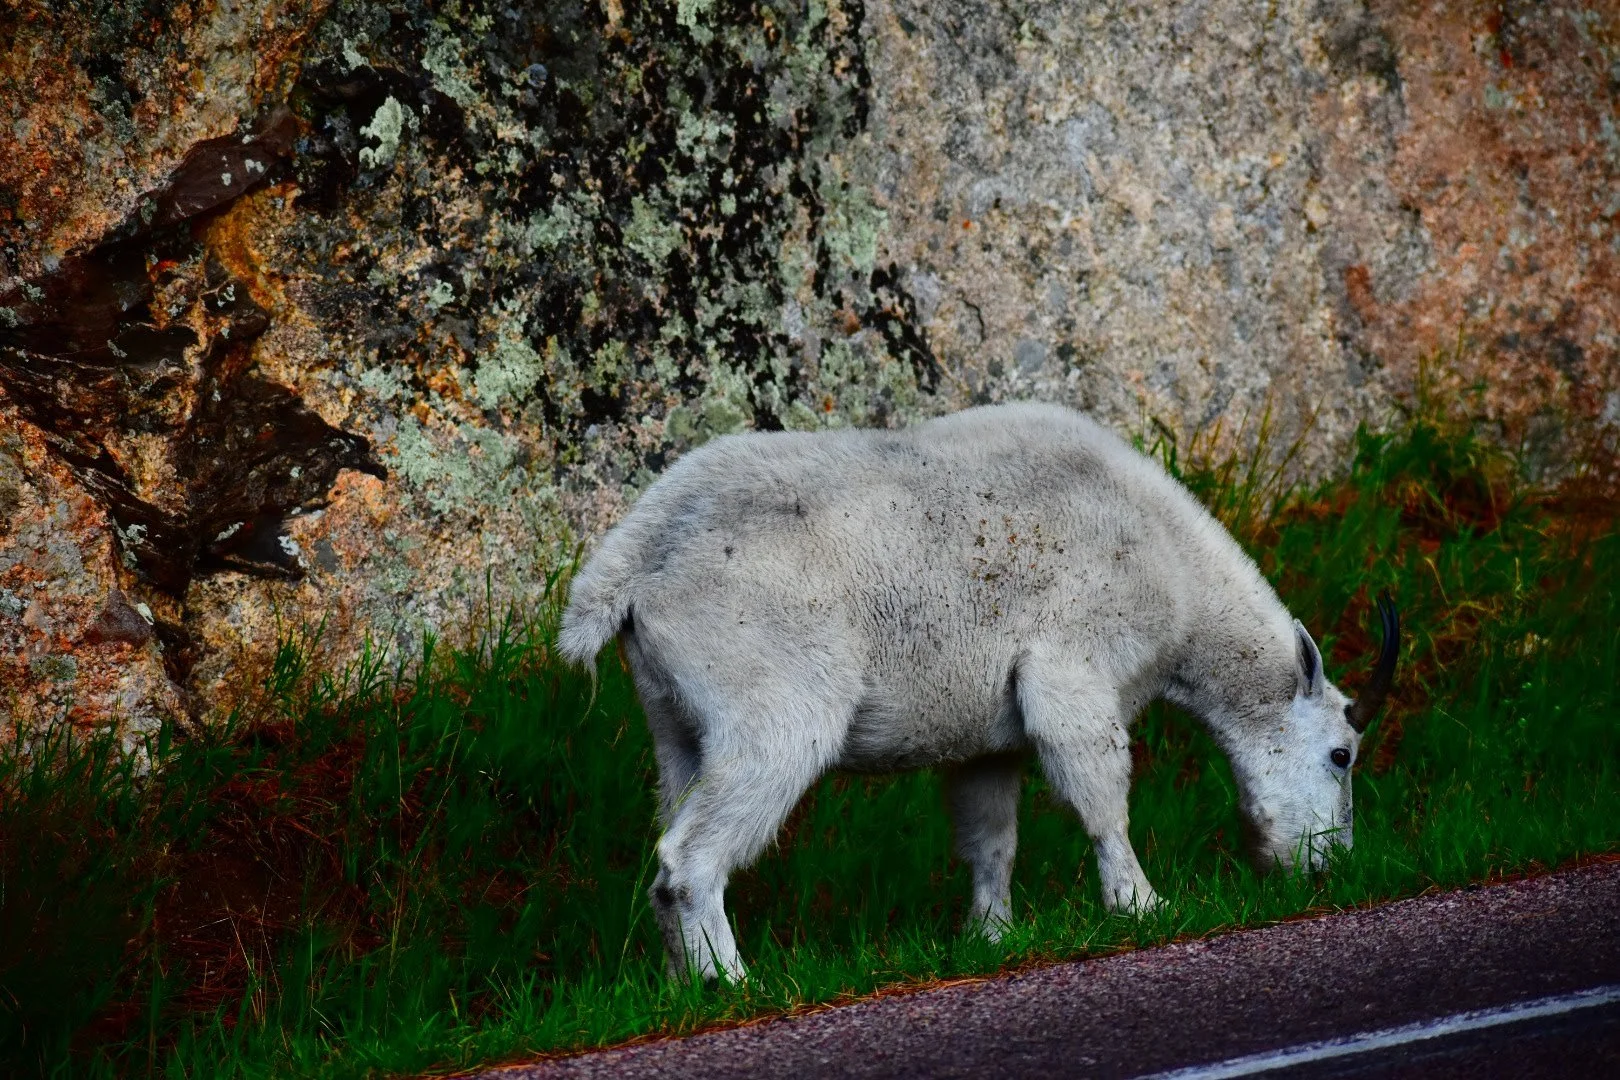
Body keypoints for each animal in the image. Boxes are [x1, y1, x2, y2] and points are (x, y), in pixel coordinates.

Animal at [560, 403, 1399, 982]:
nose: (1326, 869)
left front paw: (993, 935)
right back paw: (734, 981)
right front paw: (1144, 905)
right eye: (1342, 755)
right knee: (689, 852)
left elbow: (991, 835)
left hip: (673, 720)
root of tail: (629, 564)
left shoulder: (987, 739)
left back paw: (683, 984)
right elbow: (1102, 795)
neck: (1174, 571)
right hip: (773, 708)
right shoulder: (1073, 670)